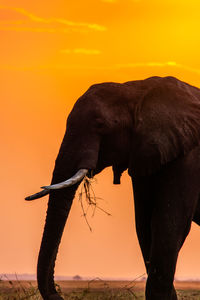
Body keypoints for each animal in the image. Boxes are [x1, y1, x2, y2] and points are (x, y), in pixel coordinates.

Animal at [25, 75, 200, 300]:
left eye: (100, 125)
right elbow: (145, 226)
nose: (58, 295)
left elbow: (169, 226)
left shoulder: (189, 156)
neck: (137, 89)